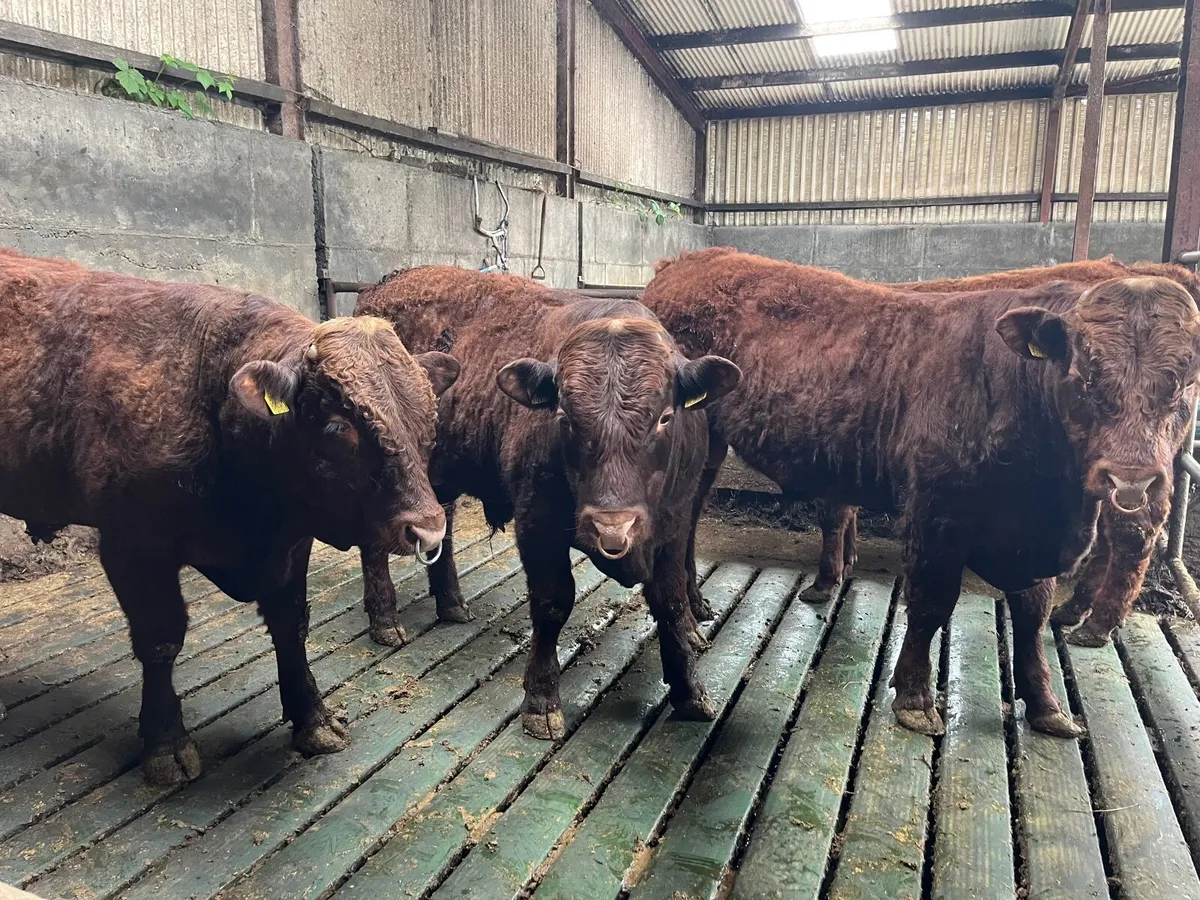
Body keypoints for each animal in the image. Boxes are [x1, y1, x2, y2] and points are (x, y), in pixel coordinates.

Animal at [0, 249, 459, 786]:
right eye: (336, 428)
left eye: (429, 418)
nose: (427, 529)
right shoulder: (132, 546)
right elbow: (160, 640)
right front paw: (166, 746)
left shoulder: (291, 544)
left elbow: (290, 624)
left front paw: (314, 721)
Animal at [353, 266, 740, 740]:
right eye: (565, 417)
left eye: (665, 417)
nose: (612, 527)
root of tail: (381, 289)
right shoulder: (537, 524)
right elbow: (553, 603)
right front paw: (541, 700)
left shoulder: (675, 522)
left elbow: (671, 600)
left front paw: (691, 691)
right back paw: (385, 619)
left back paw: (452, 603)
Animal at [642, 247, 1200, 739]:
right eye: (1083, 375)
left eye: (1186, 384)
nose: (1129, 476)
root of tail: (685, 263)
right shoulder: (937, 512)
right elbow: (932, 601)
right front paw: (913, 698)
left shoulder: (1032, 536)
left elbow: (1032, 612)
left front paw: (1046, 705)